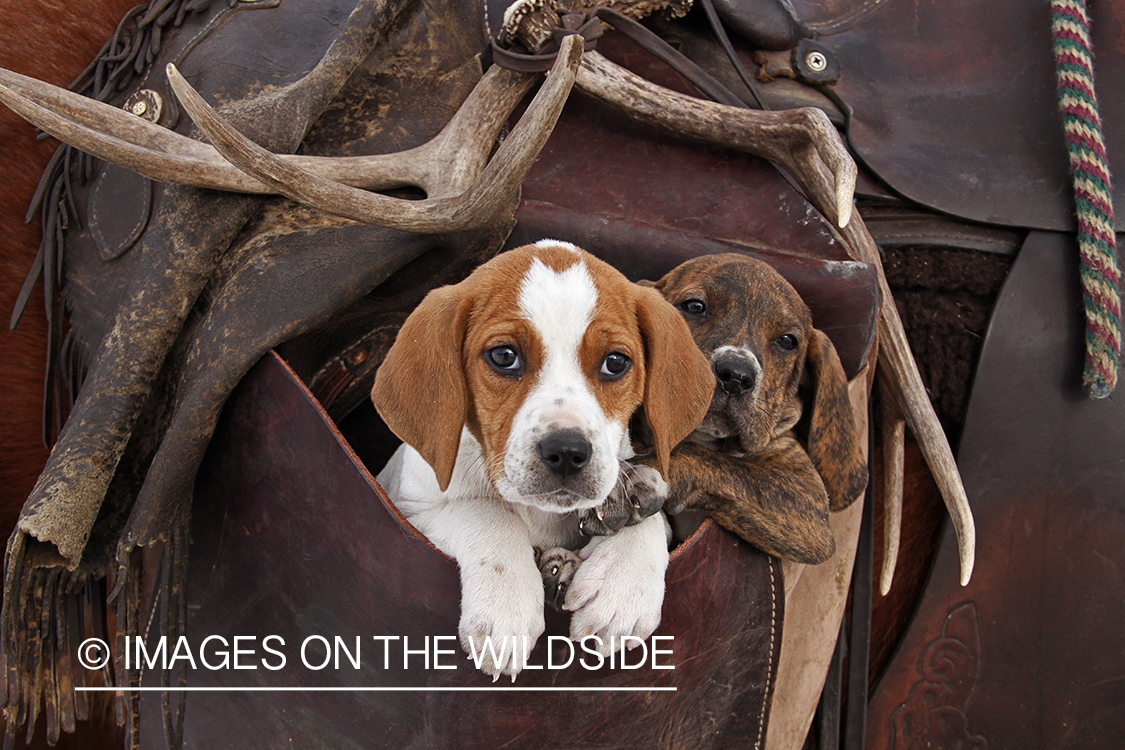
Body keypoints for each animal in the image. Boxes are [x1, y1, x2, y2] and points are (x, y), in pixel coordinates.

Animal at [375, 240, 711, 679]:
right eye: (504, 356)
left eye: (615, 363)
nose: (567, 452)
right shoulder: (409, 509)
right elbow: (488, 512)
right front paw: (507, 607)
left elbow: (651, 516)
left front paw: (623, 580)